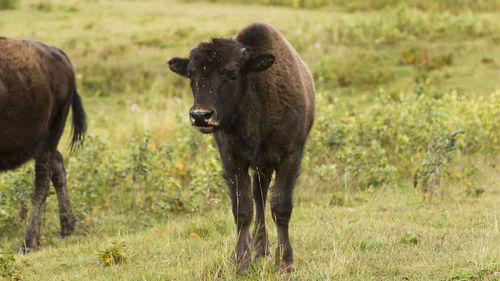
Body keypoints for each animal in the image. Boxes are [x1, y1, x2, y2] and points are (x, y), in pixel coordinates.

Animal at [0, 36, 86, 252]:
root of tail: (59, 54)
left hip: (50, 136)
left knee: (43, 181)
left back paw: (29, 242)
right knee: (58, 168)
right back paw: (67, 228)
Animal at [170, 23, 314, 272]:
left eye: (232, 74)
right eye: (190, 75)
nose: (200, 115)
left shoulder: (290, 155)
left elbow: (281, 206)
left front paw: (285, 262)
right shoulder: (232, 159)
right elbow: (243, 208)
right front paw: (241, 262)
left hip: (266, 165)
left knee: (263, 197)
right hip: (260, 167)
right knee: (259, 196)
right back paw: (260, 249)